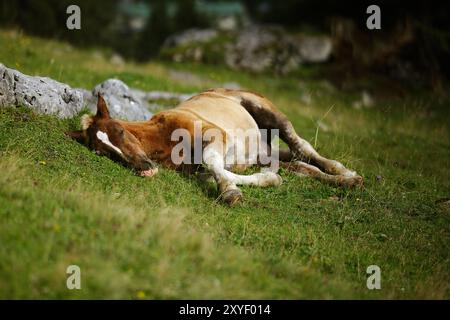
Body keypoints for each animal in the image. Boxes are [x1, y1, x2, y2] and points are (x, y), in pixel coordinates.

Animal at [67, 89, 362, 206]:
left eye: (118, 130)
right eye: (100, 150)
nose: (145, 169)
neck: (162, 137)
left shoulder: (215, 135)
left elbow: (212, 161)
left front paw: (231, 194)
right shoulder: (194, 170)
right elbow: (216, 171)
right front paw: (268, 180)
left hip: (269, 113)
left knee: (303, 147)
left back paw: (348, 175)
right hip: (263, 153)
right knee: (300, 165)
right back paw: (343, 181)